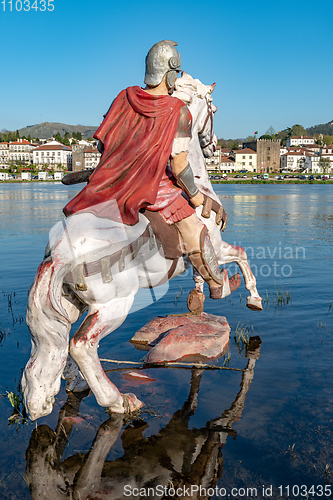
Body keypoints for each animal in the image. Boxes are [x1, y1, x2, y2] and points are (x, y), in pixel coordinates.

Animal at [21, 72, 262, 420]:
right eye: (213, 108)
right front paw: (248, 295)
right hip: (113, 306)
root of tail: (61, 253)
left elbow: (203, 273)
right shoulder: (214, 246)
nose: (213, 146)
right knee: (81, 345)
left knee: (48, 354)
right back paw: (118, 400)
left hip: (68, 303)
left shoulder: (199, 257)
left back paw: (67, 388)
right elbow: (239, 256)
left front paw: (203, 296)